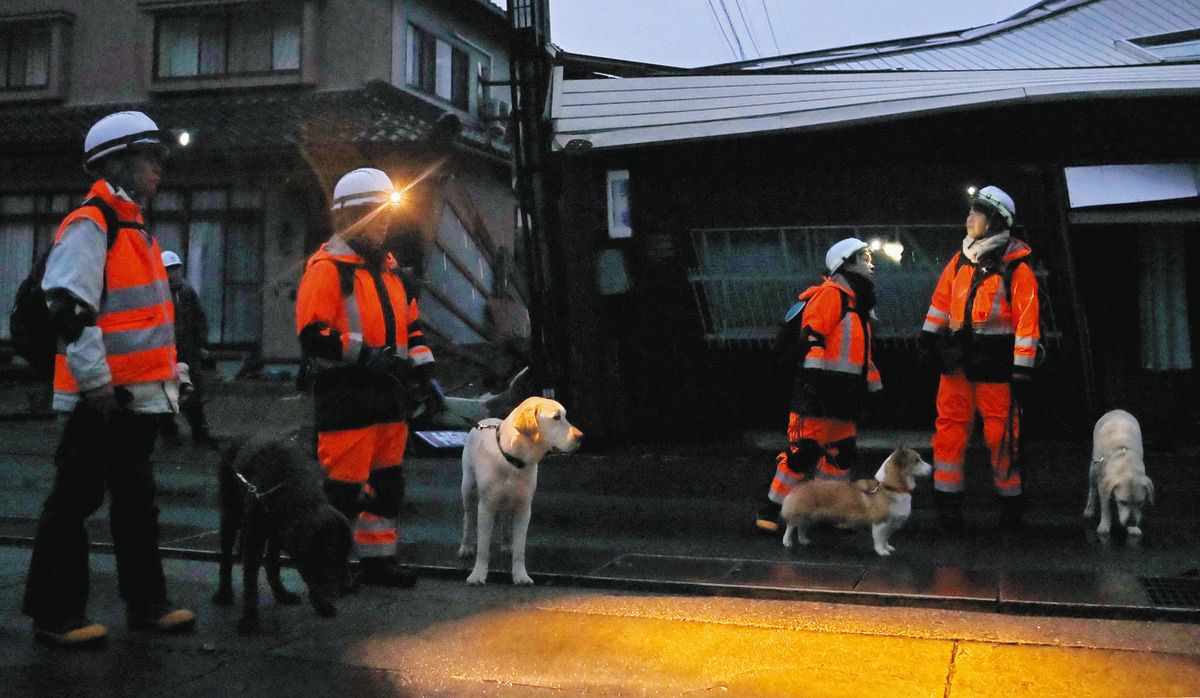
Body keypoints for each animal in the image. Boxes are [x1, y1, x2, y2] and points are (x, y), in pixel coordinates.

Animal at [213, 429, 350, 638]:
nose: (346, 587)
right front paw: (249, 621)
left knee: (271, 561)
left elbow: (281, 566)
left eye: (345, 556)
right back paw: (224, 593)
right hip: (231, 512)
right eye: (329, 557)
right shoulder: (254, 539)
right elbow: (250, 584)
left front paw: (321, 604)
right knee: (226, 555)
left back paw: (281, 594)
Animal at [456, 400, 583, 585]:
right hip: (468, 488)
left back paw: (507, 544)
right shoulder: (486, 508)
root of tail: (484, 421)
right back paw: (466, 547)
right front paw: (477, 575)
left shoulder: (524, 509)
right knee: (468, 518)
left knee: (505, 520)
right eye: (556, 417)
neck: (513, 459)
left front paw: (521, 576)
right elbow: (483, 547)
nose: (581, 437)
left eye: (565, 416)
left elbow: (520, 548)